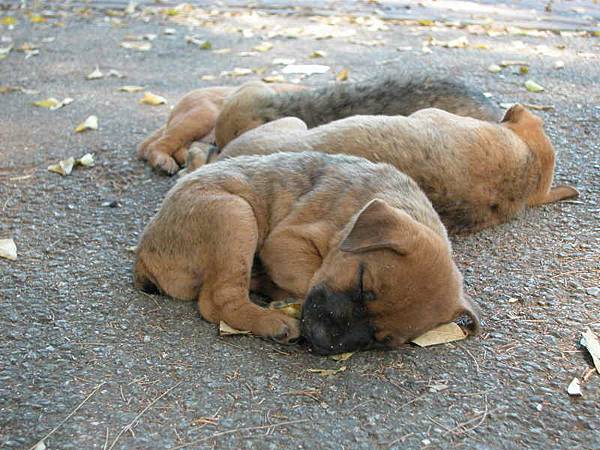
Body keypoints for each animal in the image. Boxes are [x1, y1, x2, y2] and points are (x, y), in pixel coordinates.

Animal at [134, 153, 480, 354]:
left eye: (382, 341)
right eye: (362, 283)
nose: (320, 339)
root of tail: (144, 255)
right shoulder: (285, 241)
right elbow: (308, 277)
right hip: (235, 213)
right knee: (218, 301)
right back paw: (272, 321)